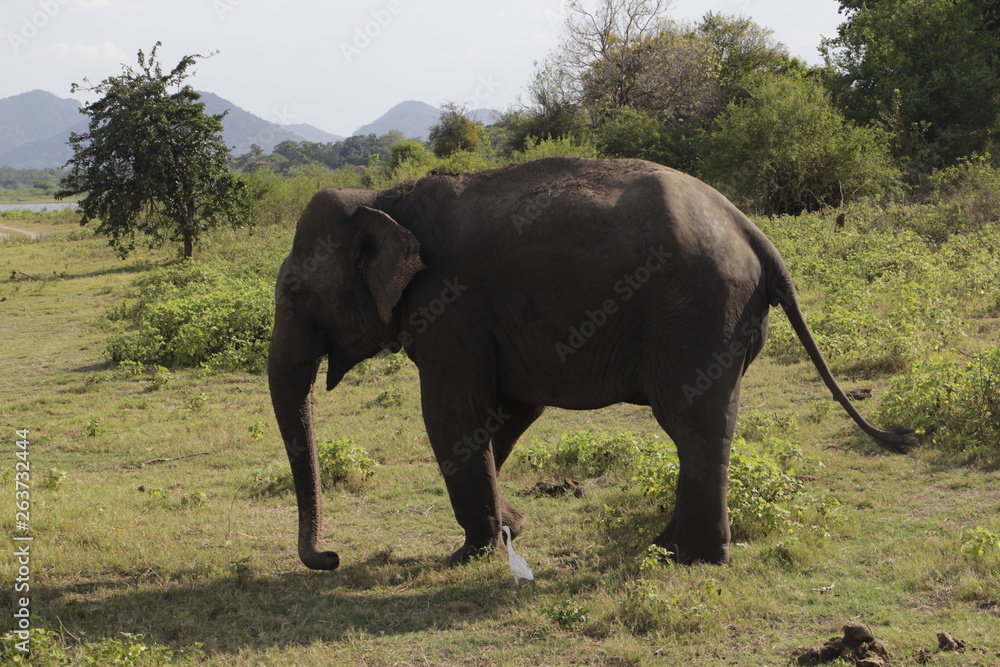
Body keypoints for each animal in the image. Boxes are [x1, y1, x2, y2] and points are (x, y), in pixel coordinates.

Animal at [268, 156, 913, 571]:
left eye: (295, 292)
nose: (331, 558)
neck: (382, 199)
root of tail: (753, 231)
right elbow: (507, 413)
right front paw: (511, 529)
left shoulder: (449, 308)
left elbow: (454, 415)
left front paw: (468, 555)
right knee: (698, 426)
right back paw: (664, 547)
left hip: (699, 312)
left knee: (695, 424)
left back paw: (694, 559)